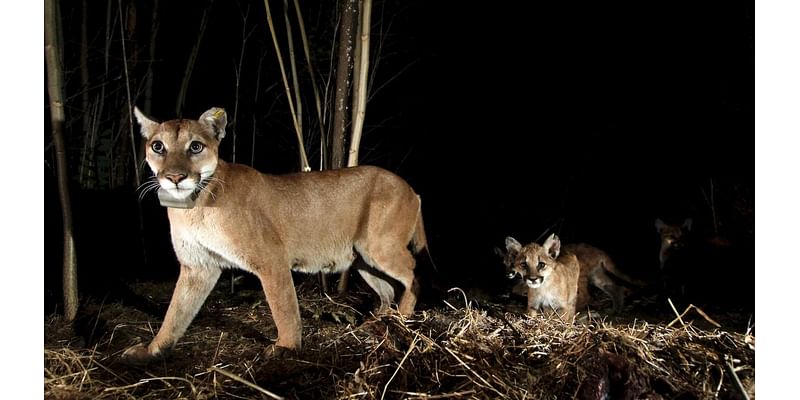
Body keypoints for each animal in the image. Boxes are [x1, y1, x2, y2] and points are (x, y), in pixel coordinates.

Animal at [121, 107, 428, 366]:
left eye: (195, 146)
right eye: (158, 146)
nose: (175, 177)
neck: (194, 206)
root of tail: (412, 188)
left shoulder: (271, 260)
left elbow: (284, 307)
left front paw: (287, 348)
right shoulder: (198, 266)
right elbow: (175, 313)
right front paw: (152, 350)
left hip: (380, 247)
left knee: (414, 273)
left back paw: (404, 316)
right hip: (363, 258)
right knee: (387, 289)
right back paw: (376, 323)